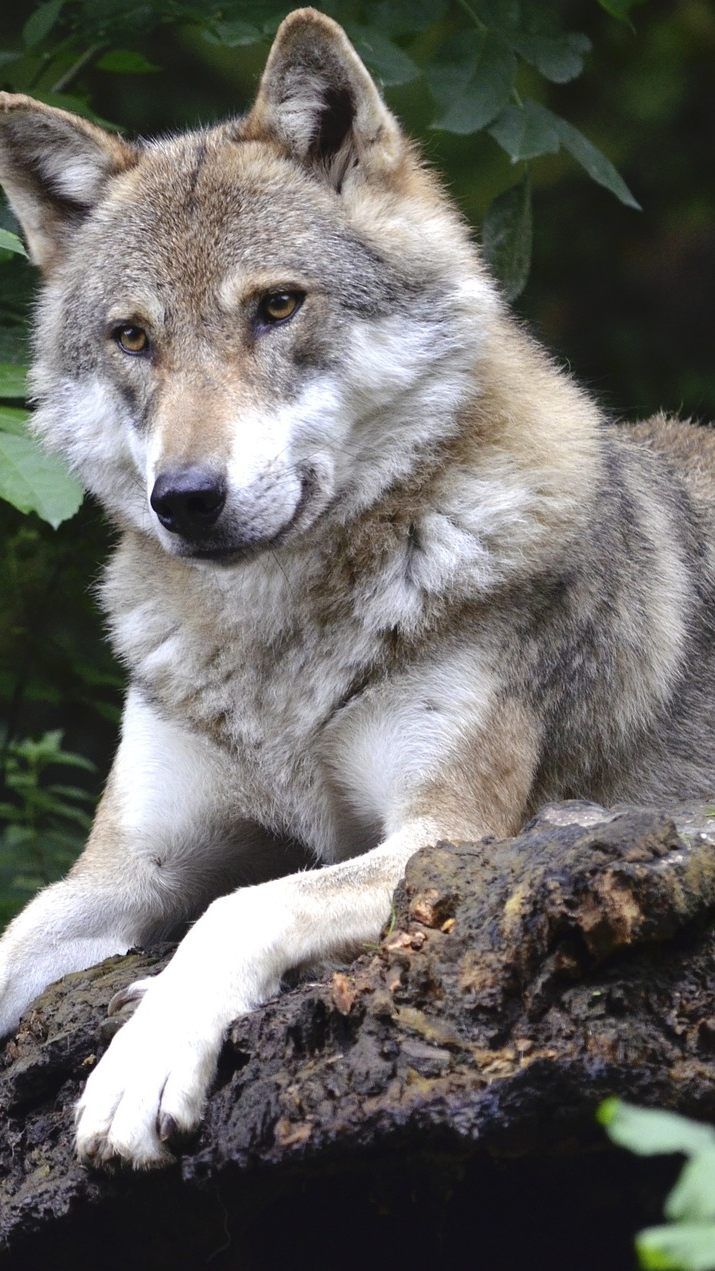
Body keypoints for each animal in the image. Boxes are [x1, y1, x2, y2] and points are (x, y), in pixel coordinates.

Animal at [0, 7, 713, 1169]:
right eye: (133, 336)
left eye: (277, 306)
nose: (184, 498)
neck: (275, 645)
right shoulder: (124, 872)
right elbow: (17, 932)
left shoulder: (445, 839)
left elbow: (243, 906)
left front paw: (141, 1063)